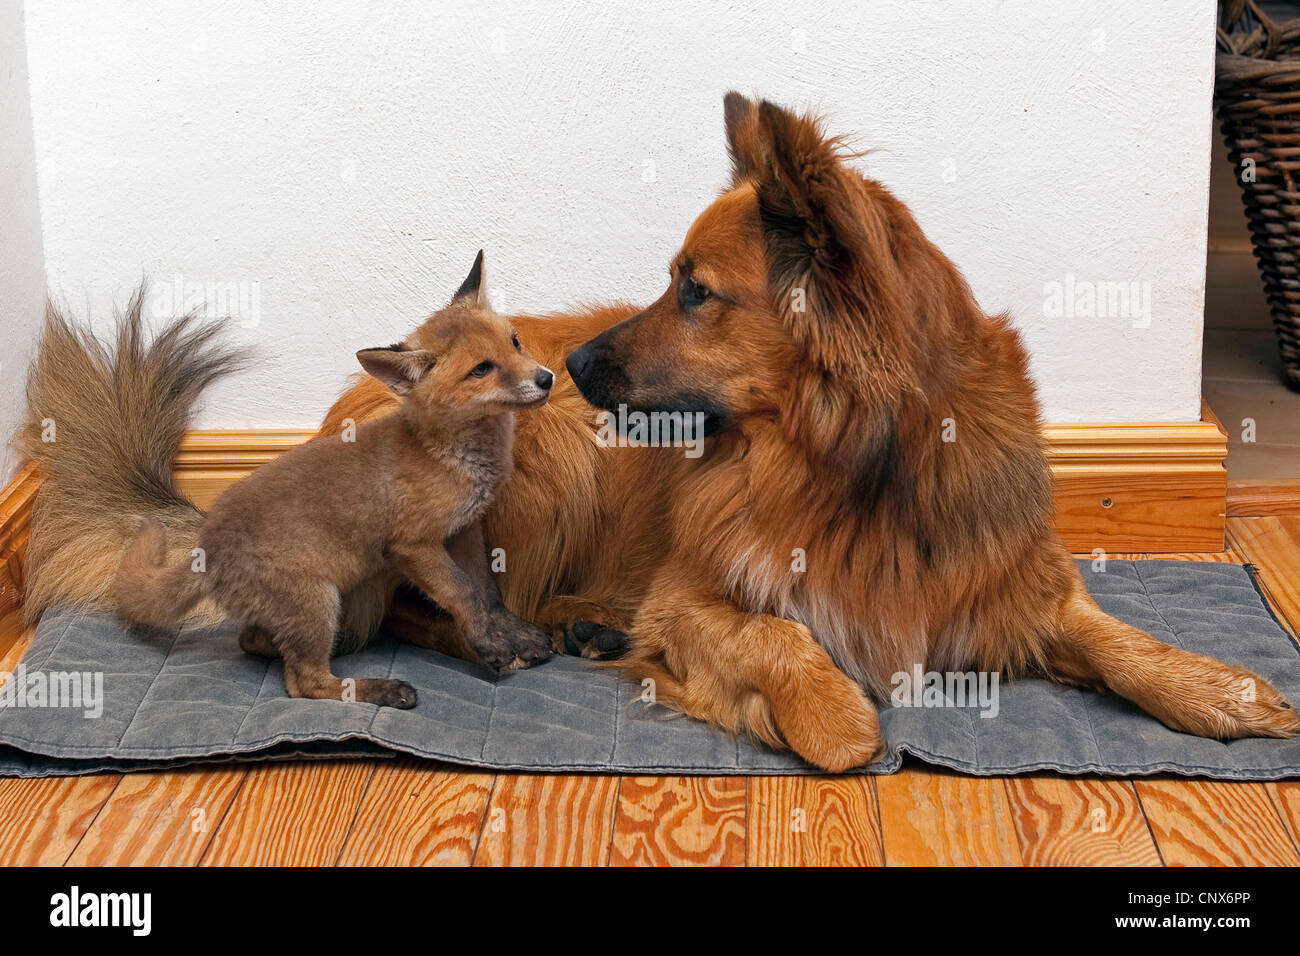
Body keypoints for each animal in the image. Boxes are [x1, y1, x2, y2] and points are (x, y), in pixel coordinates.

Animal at [317, 95, 1300, 770]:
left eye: (694, 290)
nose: (571, 368)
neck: (843, 468)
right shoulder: (691, 597)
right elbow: (788, 647)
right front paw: (837, 720)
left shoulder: (1008, 582)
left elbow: (1116, 640)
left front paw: (1220, 690)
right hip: (549, 461)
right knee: (422, 607)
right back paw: (523, 640)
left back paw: (583, 626)